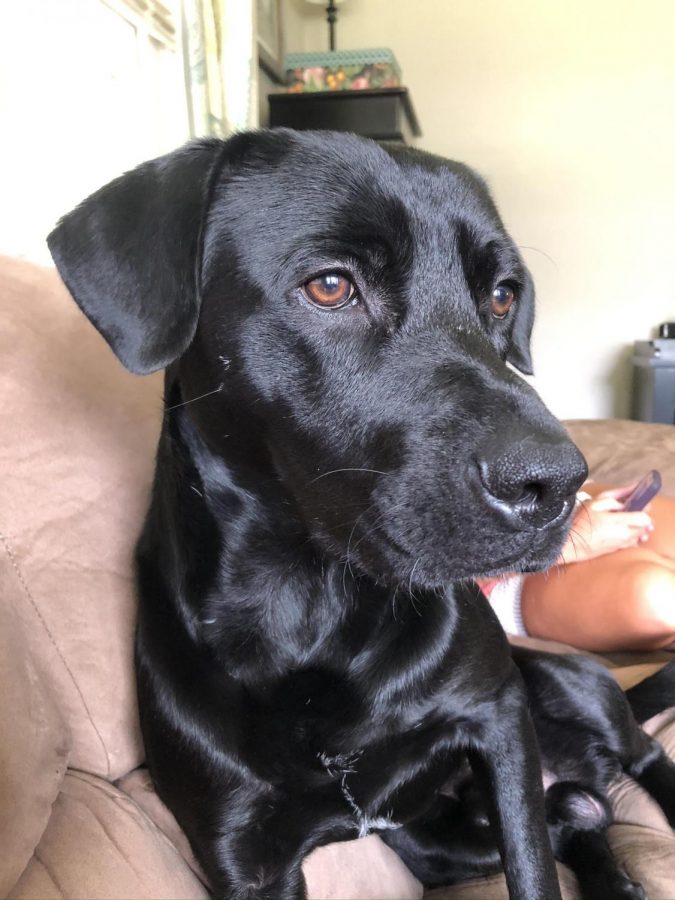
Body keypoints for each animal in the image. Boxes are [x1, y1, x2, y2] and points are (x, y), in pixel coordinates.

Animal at [47, 130, 588, 896]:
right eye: (330, 286)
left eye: (501, 296)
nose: (558, 484)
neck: (316, 607)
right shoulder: (243, 853)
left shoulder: (500, 717)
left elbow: (535, 866)